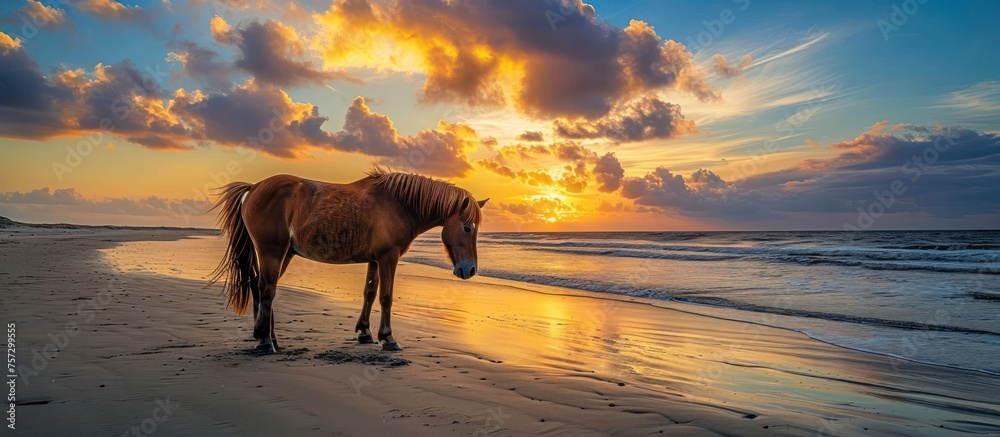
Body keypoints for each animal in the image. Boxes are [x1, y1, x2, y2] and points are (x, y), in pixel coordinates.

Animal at [211, 169, 488, 352]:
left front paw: (365, 332)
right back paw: (266, 341)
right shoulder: (389, 258)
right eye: (467, 227)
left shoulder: (375, 260)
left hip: (283, 254)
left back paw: (269, 339)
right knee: (267, 290)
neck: (398, 204)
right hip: (273, 252)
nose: (470, 269)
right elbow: (386, 297)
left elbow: (370, 292)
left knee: (260, 287)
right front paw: (388, 338)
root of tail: (254, 187)